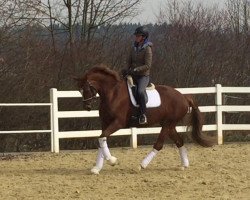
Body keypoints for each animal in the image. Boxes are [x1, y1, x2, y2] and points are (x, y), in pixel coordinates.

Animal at [74, 65, 213, 174]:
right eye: (79, 90)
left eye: (86, 88)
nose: (87, 107)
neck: (112, 94)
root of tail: (184, 96)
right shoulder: (105, 123)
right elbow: (101, 140)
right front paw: (96, 168)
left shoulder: (117, 123)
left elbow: (102, 138)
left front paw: (112, 161)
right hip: (170, 125)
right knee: (179, 141)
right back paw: (184, 165)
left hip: (167, 124)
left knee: (159, 145)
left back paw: (141, 165)